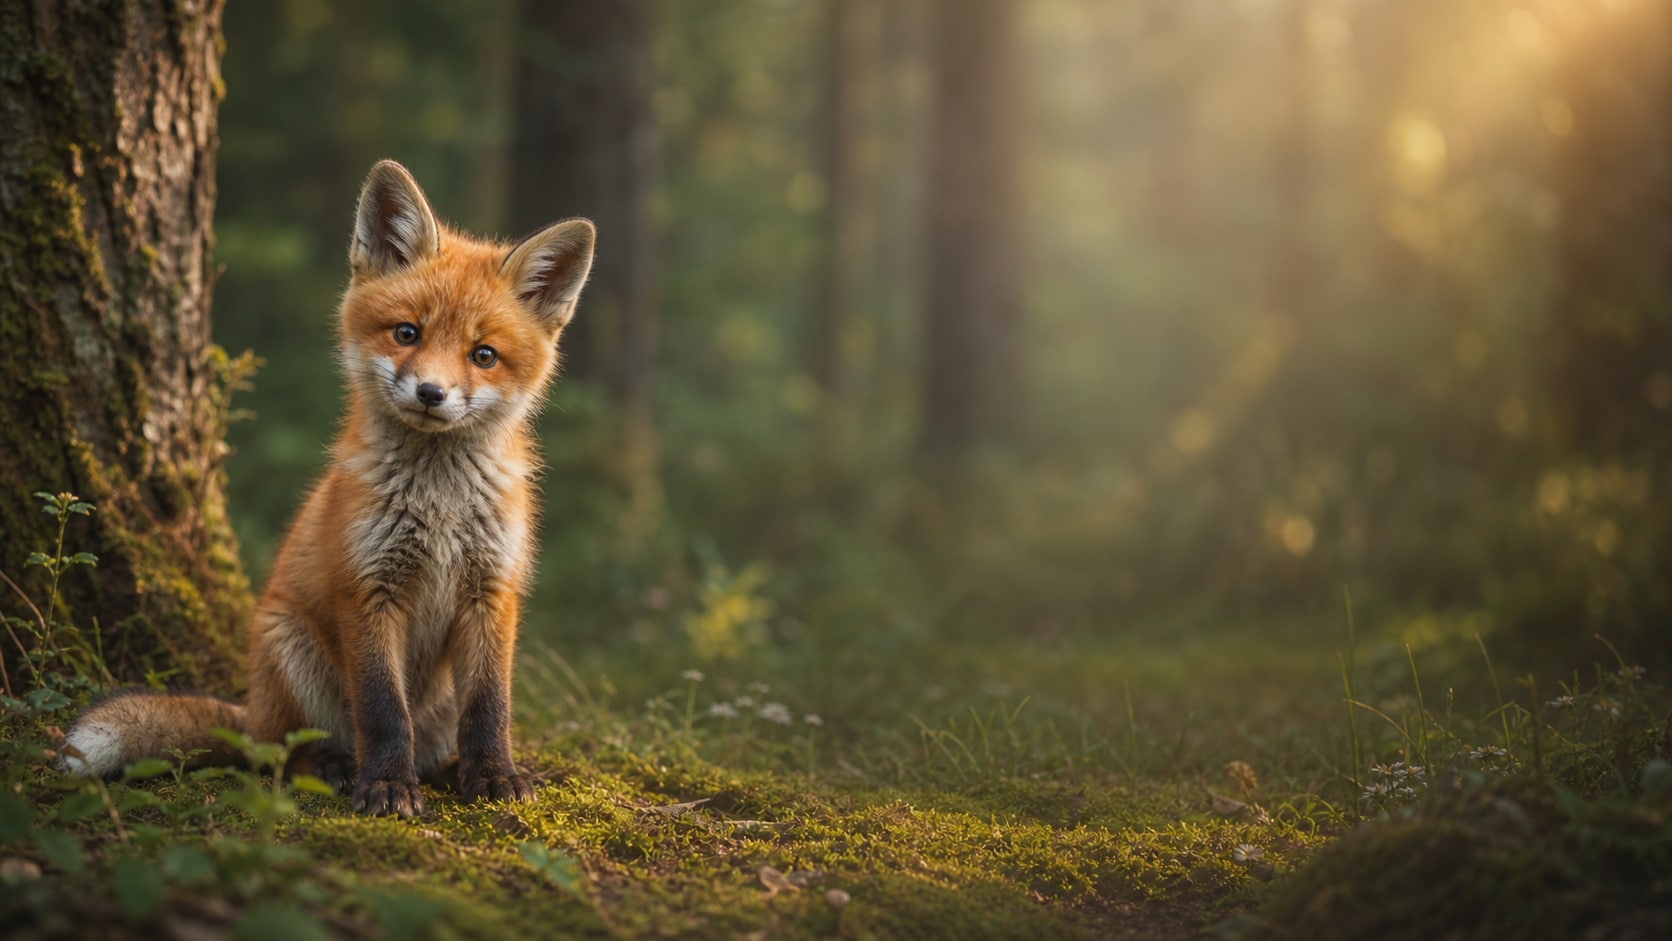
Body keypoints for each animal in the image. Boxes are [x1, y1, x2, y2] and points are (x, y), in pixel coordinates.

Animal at [59, 160, 595, 818]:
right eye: (407, 333)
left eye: (484, 355)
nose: (431, 393)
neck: (439, 507)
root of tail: (253, 708)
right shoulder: (367, 588)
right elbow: (383, 710)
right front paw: (386, 786)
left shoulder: (491, 589)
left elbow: (491, 708)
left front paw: (494, 775)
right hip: (289, 647)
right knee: (282, 754)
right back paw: (338, 768)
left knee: (429, 741)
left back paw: (444, 769)